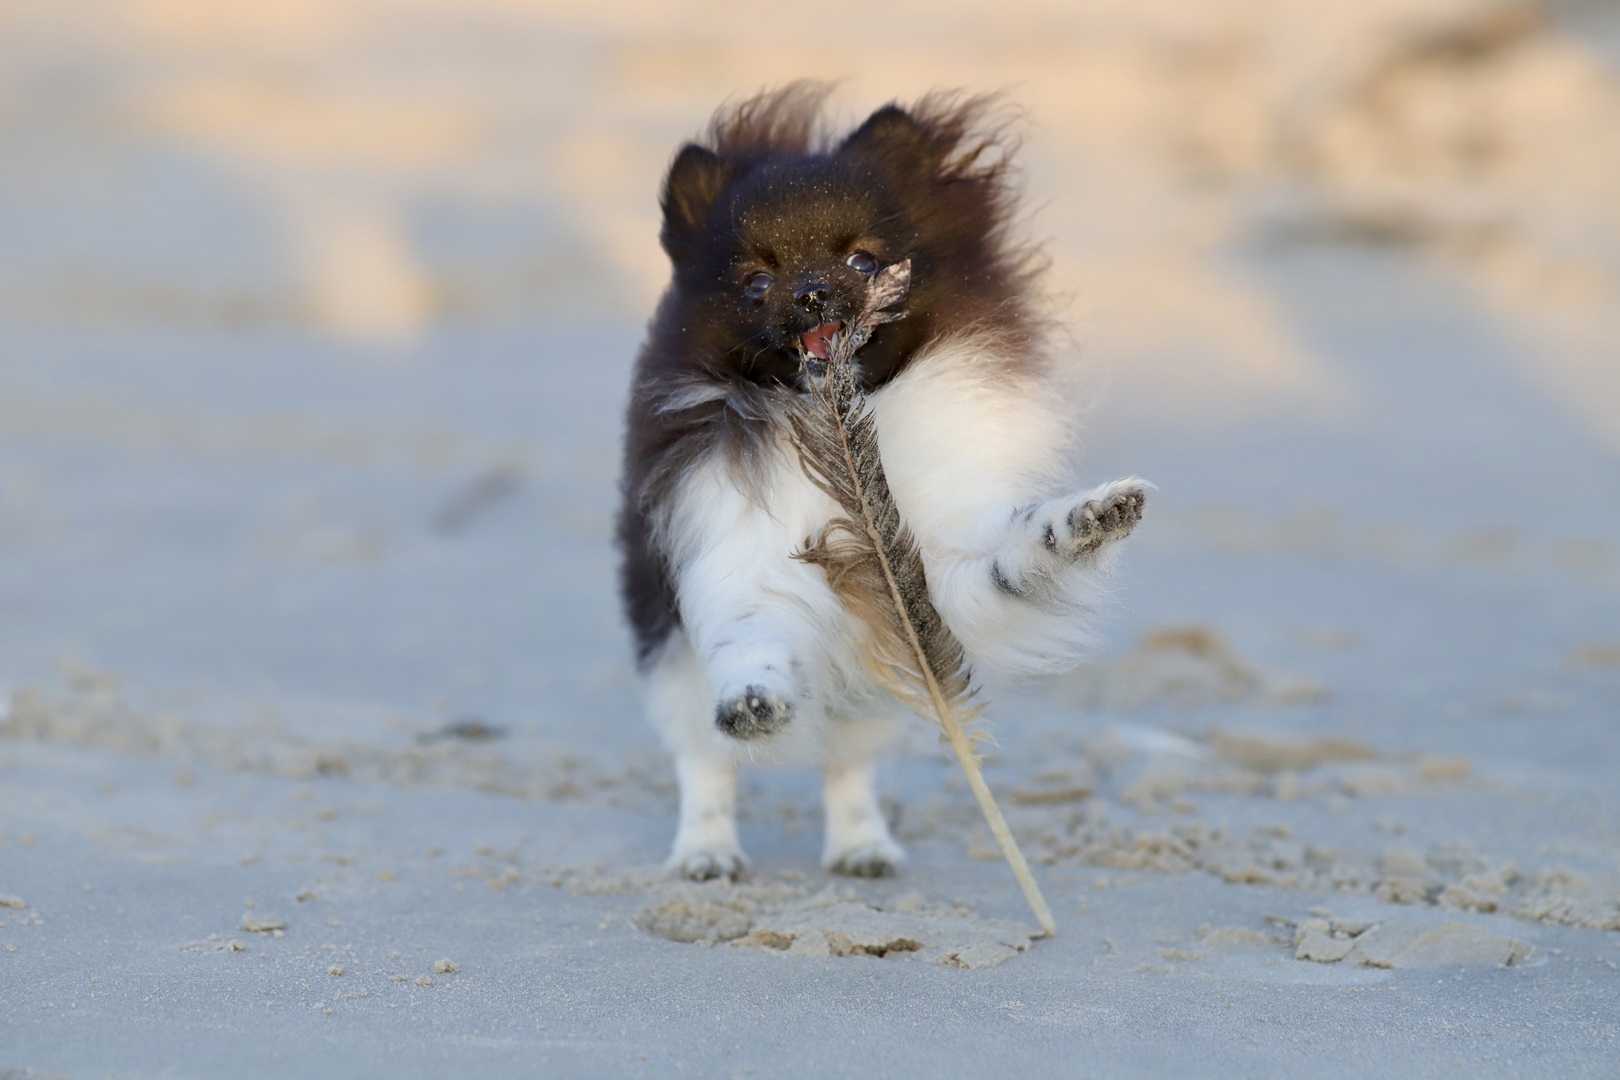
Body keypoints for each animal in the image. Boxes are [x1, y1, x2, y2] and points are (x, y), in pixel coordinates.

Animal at [612, 84, 1146, 880]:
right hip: (672, 670)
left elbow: (1017, 551)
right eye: (756, 281)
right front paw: (754, 698)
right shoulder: (738, 550)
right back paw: (706, 854)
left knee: (848, 768)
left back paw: (862, 847)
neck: (827, 424)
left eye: (862, 261)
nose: (810, 293)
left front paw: (1087, 521)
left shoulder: (940, 570)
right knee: (706, 766)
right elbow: (750, 636)